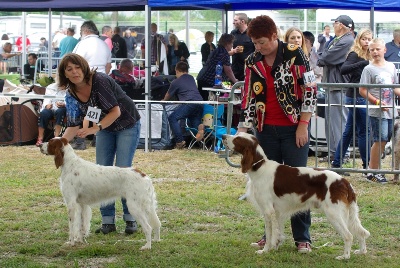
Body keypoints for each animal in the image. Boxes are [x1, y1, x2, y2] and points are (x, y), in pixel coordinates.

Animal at [222, 132, 368, 260]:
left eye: (237, 139)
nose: (223, 136)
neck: (259, 167)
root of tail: (344, 181)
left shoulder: (268, 211)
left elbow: (269, 234)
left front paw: (265, 250)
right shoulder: (277, 212)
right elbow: (278, 233)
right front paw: (275, 247)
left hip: (334, 213)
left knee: (349, 235)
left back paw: (345, 256)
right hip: (346, 214)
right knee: (360, 232)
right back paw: (361, 251)